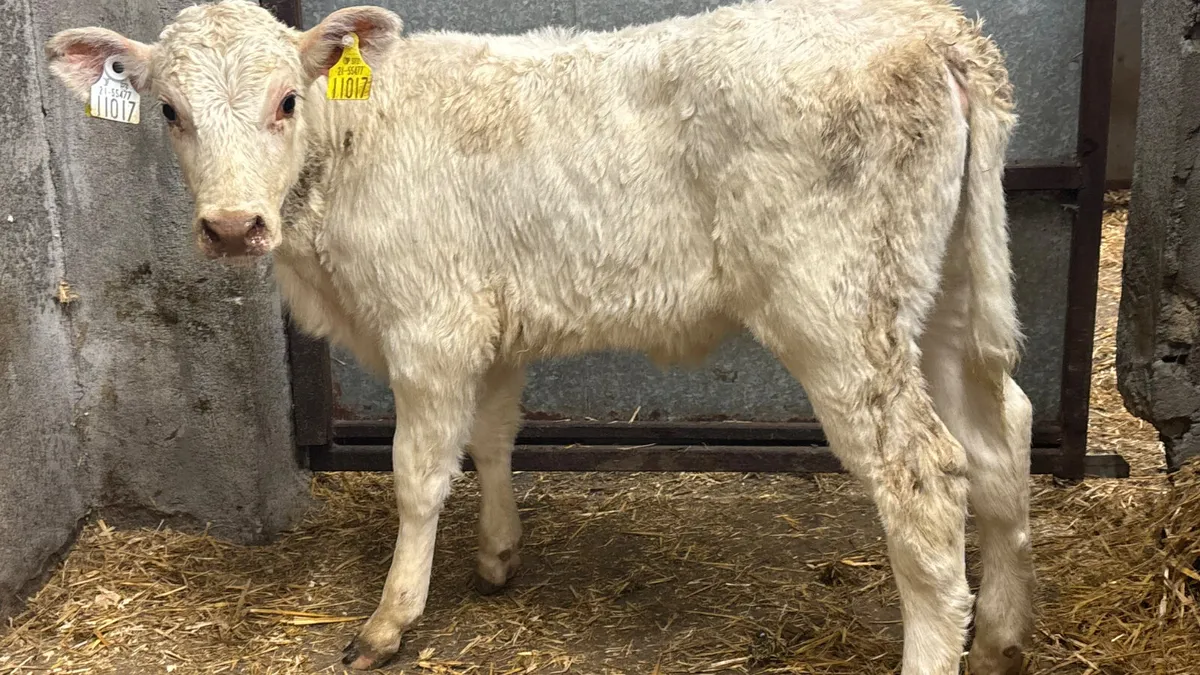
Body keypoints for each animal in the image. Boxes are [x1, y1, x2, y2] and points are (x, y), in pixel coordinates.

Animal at [46, 0, 1034, 672]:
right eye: (169, 111)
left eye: (287, 100)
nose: (231, 226)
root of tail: (933, 28)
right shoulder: (493, 324)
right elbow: (492, 438)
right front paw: (497, 555)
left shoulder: (430, 326)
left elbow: (417, 475)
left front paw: (390, 618)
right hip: (940, 299)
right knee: (1002, 436)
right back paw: (1002, 638)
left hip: (835, 309)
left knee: (923, 475)